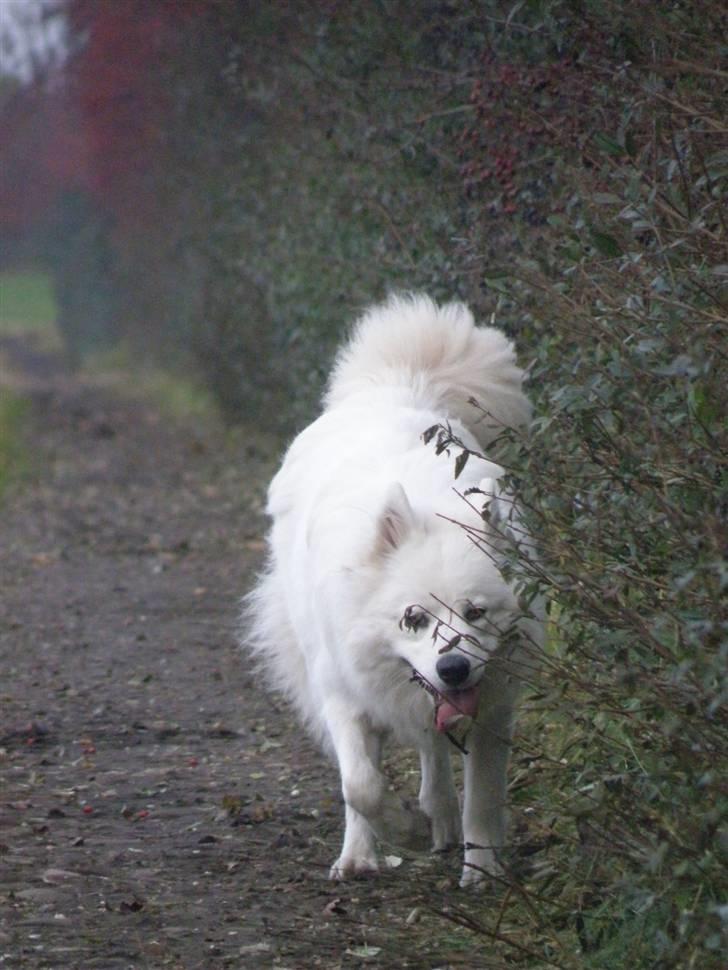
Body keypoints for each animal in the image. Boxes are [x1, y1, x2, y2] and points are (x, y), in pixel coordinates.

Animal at [245, 294, 540, 884]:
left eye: (477, 613)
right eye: (413, 618)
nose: (454, 668)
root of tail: (398, 383)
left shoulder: (493, 706)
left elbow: (483, 796)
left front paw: (482, 870)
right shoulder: (343, 691)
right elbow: (361, 786)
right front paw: (401, 833)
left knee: (433, 752)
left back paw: (440, 819)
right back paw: (368, 851)